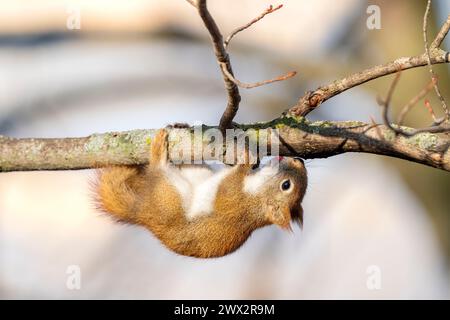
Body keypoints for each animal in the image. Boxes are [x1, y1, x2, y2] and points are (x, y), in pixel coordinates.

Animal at [94, 129, 306, 258]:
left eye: (286, 185)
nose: (299, 160)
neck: (256, 195)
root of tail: (143, 212)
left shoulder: (233, 198)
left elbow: (228, 186)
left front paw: (246, 157)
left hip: (168, 195)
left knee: (158, 171)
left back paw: (158, 151)